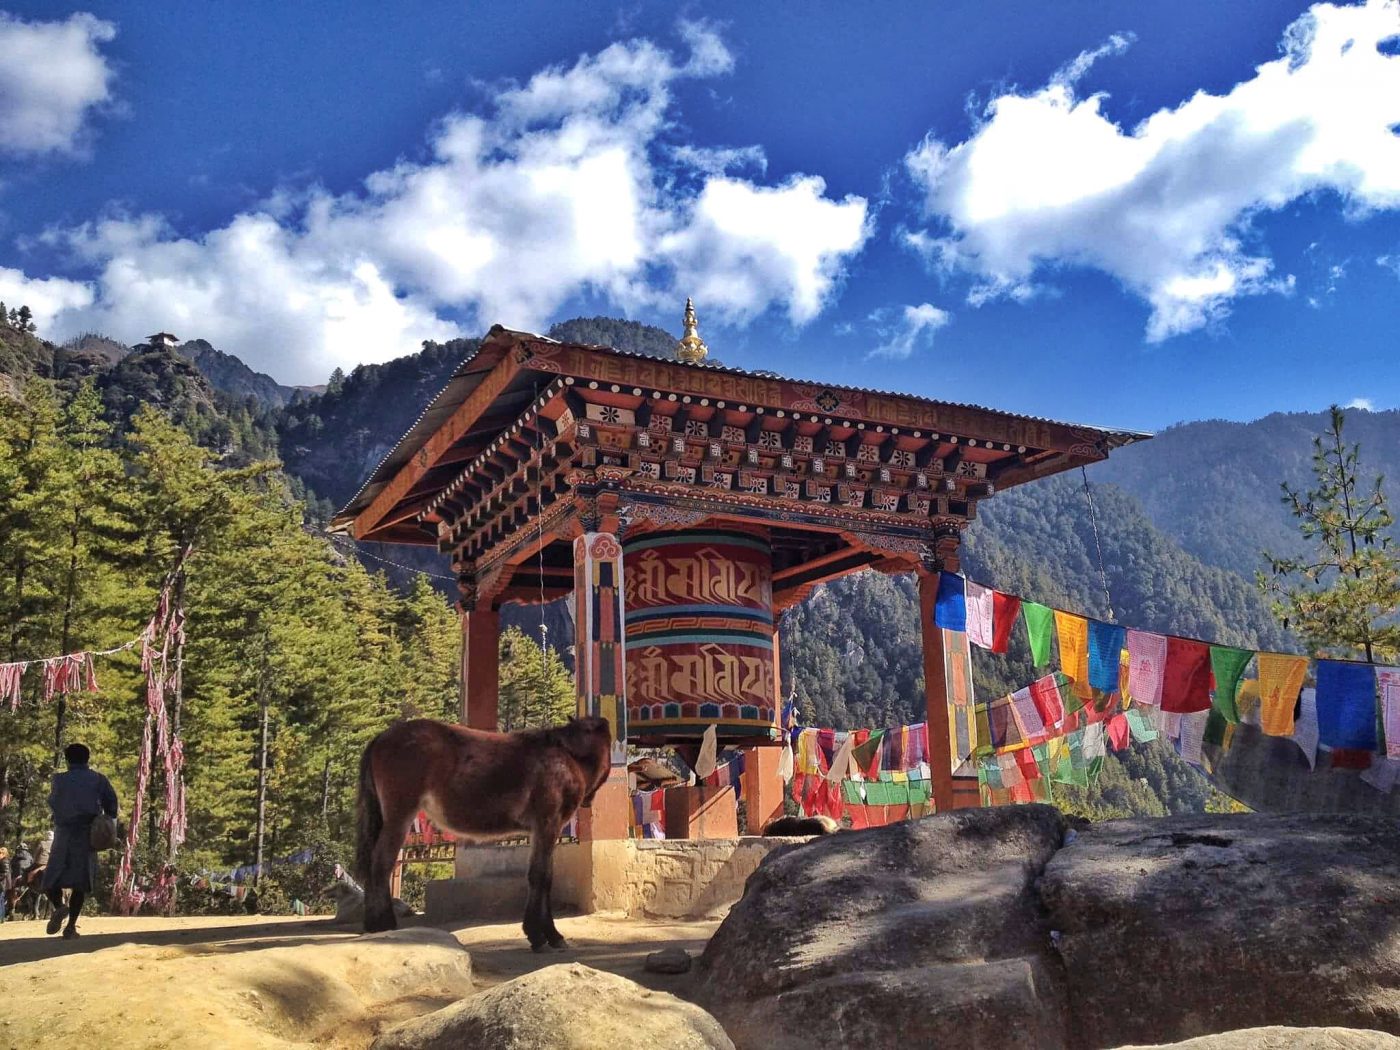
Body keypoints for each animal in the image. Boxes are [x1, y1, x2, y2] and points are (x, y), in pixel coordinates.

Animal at [352, 716, 610, 952]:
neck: (565, 757)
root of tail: (383, 737)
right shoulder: (548, 824)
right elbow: (542, 877)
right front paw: (545, 935)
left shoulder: (542, 831)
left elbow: (541, 876)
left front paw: (541, 934)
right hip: (399, 817)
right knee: (381, 864)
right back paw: (384, 924)